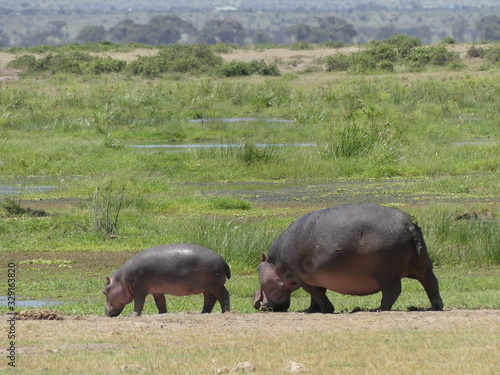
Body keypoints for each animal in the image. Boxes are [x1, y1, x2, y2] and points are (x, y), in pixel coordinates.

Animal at [256, 204, 444, 312]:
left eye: (258, 269)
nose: (256, 303)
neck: (276, 263)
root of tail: (409, 224)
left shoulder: (303, 280)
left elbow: (317, 294)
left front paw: (325, 310)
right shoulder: (316, 279)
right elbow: (317, 296)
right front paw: (311, 310)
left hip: (386, 274)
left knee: (393, 291)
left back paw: (379, 309)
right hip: (422, 265)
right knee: (431, 282)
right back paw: (436, 306)